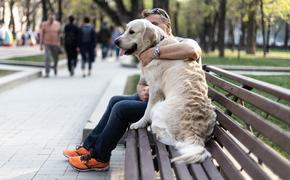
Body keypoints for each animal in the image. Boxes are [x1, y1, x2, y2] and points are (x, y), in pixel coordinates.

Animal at [114, 19, 216, 164]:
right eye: (125, 29)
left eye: (132, 32)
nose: (115, 41)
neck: (156, 45)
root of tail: (195, 133)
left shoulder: (154, 90)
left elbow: (146, 111)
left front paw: (139, 123)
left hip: (159, 108)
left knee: (173, 140)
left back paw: (155, 131)